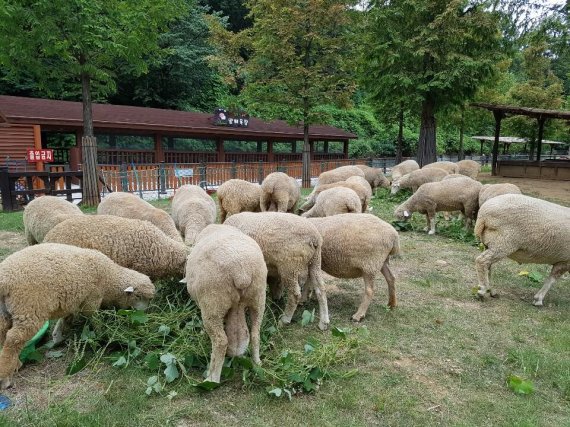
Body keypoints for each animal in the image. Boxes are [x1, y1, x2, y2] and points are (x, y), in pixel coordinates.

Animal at [0, 242, 154, 390]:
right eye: (139, 296)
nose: (145, 314)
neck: (110, 277)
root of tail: (5, 279)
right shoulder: (92, 299)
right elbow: (94, 318)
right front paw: (102, 335)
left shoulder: (74, 301)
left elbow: (66, 318)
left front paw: (58, 336)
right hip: (29, 308)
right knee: (14, 339)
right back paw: (5, 377)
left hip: (4, 312)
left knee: (3, 335)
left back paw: (15, 364)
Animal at [183, 226, 268, 382]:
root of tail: (241, 272)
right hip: (258, 298)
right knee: (255, 333)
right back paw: (257, 363)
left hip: (213, 304)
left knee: (221, 341)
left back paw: (212, 378)